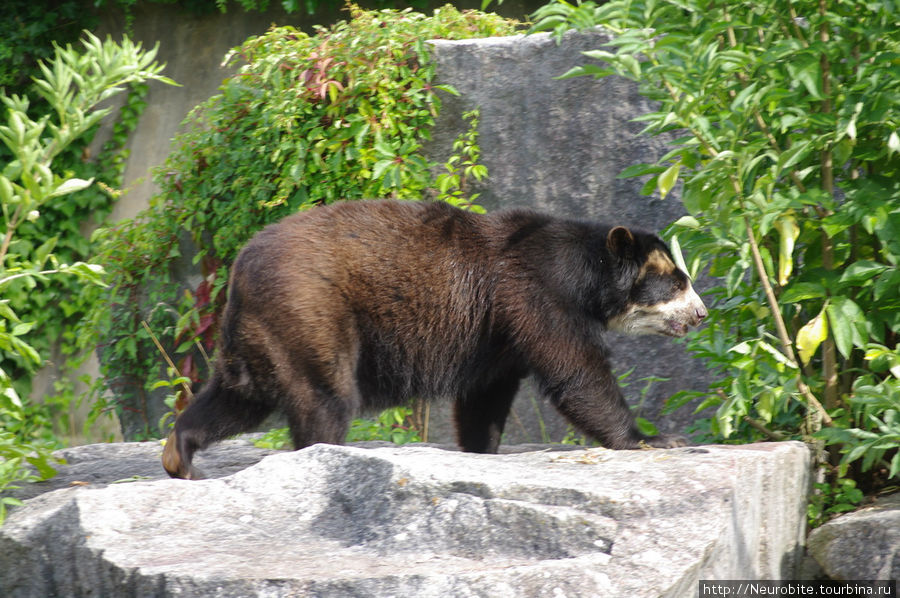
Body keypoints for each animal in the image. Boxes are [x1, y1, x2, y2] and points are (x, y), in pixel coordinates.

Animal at [163, 199, 712, 480]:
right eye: (676, 281)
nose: (702, 314)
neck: (583, 276)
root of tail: (240, 268)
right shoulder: (536, 295)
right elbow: (576, 370)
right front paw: (653, 438)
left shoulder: (497, 334)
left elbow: (485, 397)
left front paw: (480, 450)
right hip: (312, 307)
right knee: (324, 397)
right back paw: (324, 454)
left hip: (261, 330)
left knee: (238, 395)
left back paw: (180, 454)